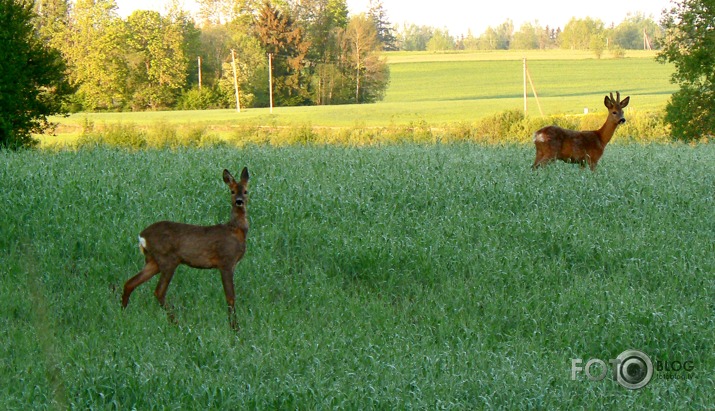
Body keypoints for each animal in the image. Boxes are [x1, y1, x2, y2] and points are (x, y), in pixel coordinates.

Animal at [120, 167, 249, 332]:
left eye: (245, 191)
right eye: (232, 191)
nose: (239, 201)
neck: (236, 230)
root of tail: (142, 237)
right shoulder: (226, 261)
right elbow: (230, 297)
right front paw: (235, 328)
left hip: (153, 261)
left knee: (130, 283)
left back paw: (122, 314)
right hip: (168, 259)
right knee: (158, 292)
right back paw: (177, 323)